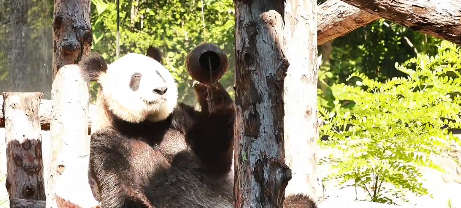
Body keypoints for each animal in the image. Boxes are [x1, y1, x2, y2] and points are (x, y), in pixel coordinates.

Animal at [79, 47, 316, 208]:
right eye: (135, 79)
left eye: (159, 73)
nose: (161, 90)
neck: (143, 125)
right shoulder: (107, 143)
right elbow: (120, 189)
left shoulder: (177, 119)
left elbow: (212, 158)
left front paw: (215, 100)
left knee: (301, 202)